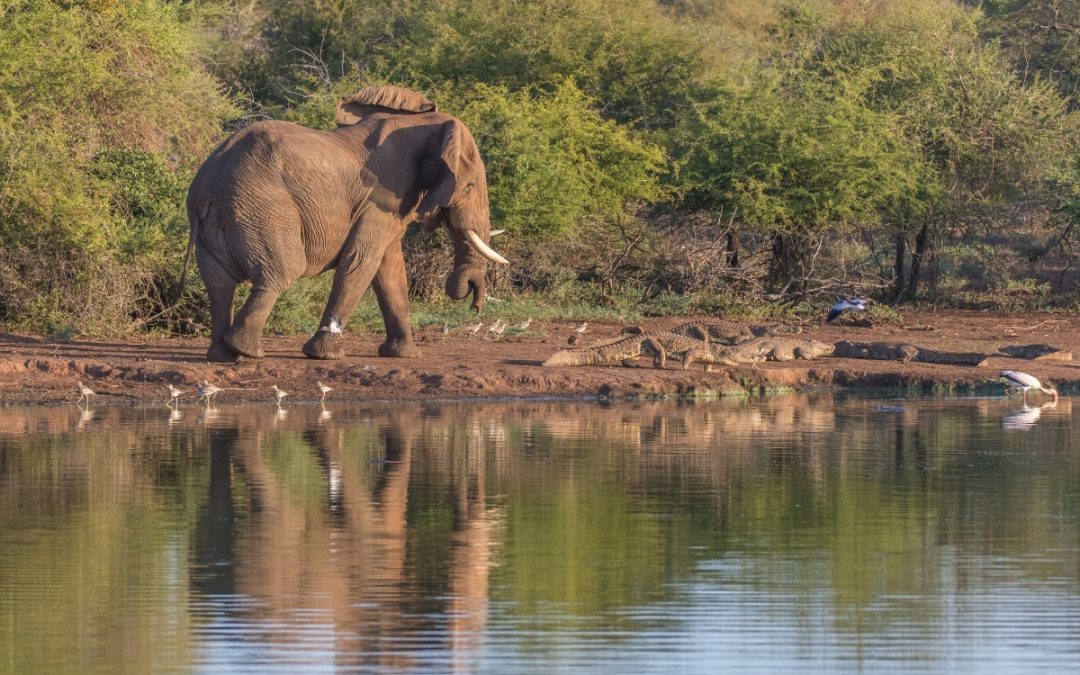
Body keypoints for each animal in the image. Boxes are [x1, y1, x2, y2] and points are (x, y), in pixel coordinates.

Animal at [183, 85, 508, 362]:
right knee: (281, 272)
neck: (425, 123)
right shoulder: (381, 198)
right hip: (263, 211)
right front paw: (326, 355)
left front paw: (404, 355)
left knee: (219, 285)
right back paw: (248, 351)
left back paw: (224, 355)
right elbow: (361, 261)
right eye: (470, 185)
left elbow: (390, 269)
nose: (474, 304)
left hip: (220, 222)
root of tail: (205, 187)